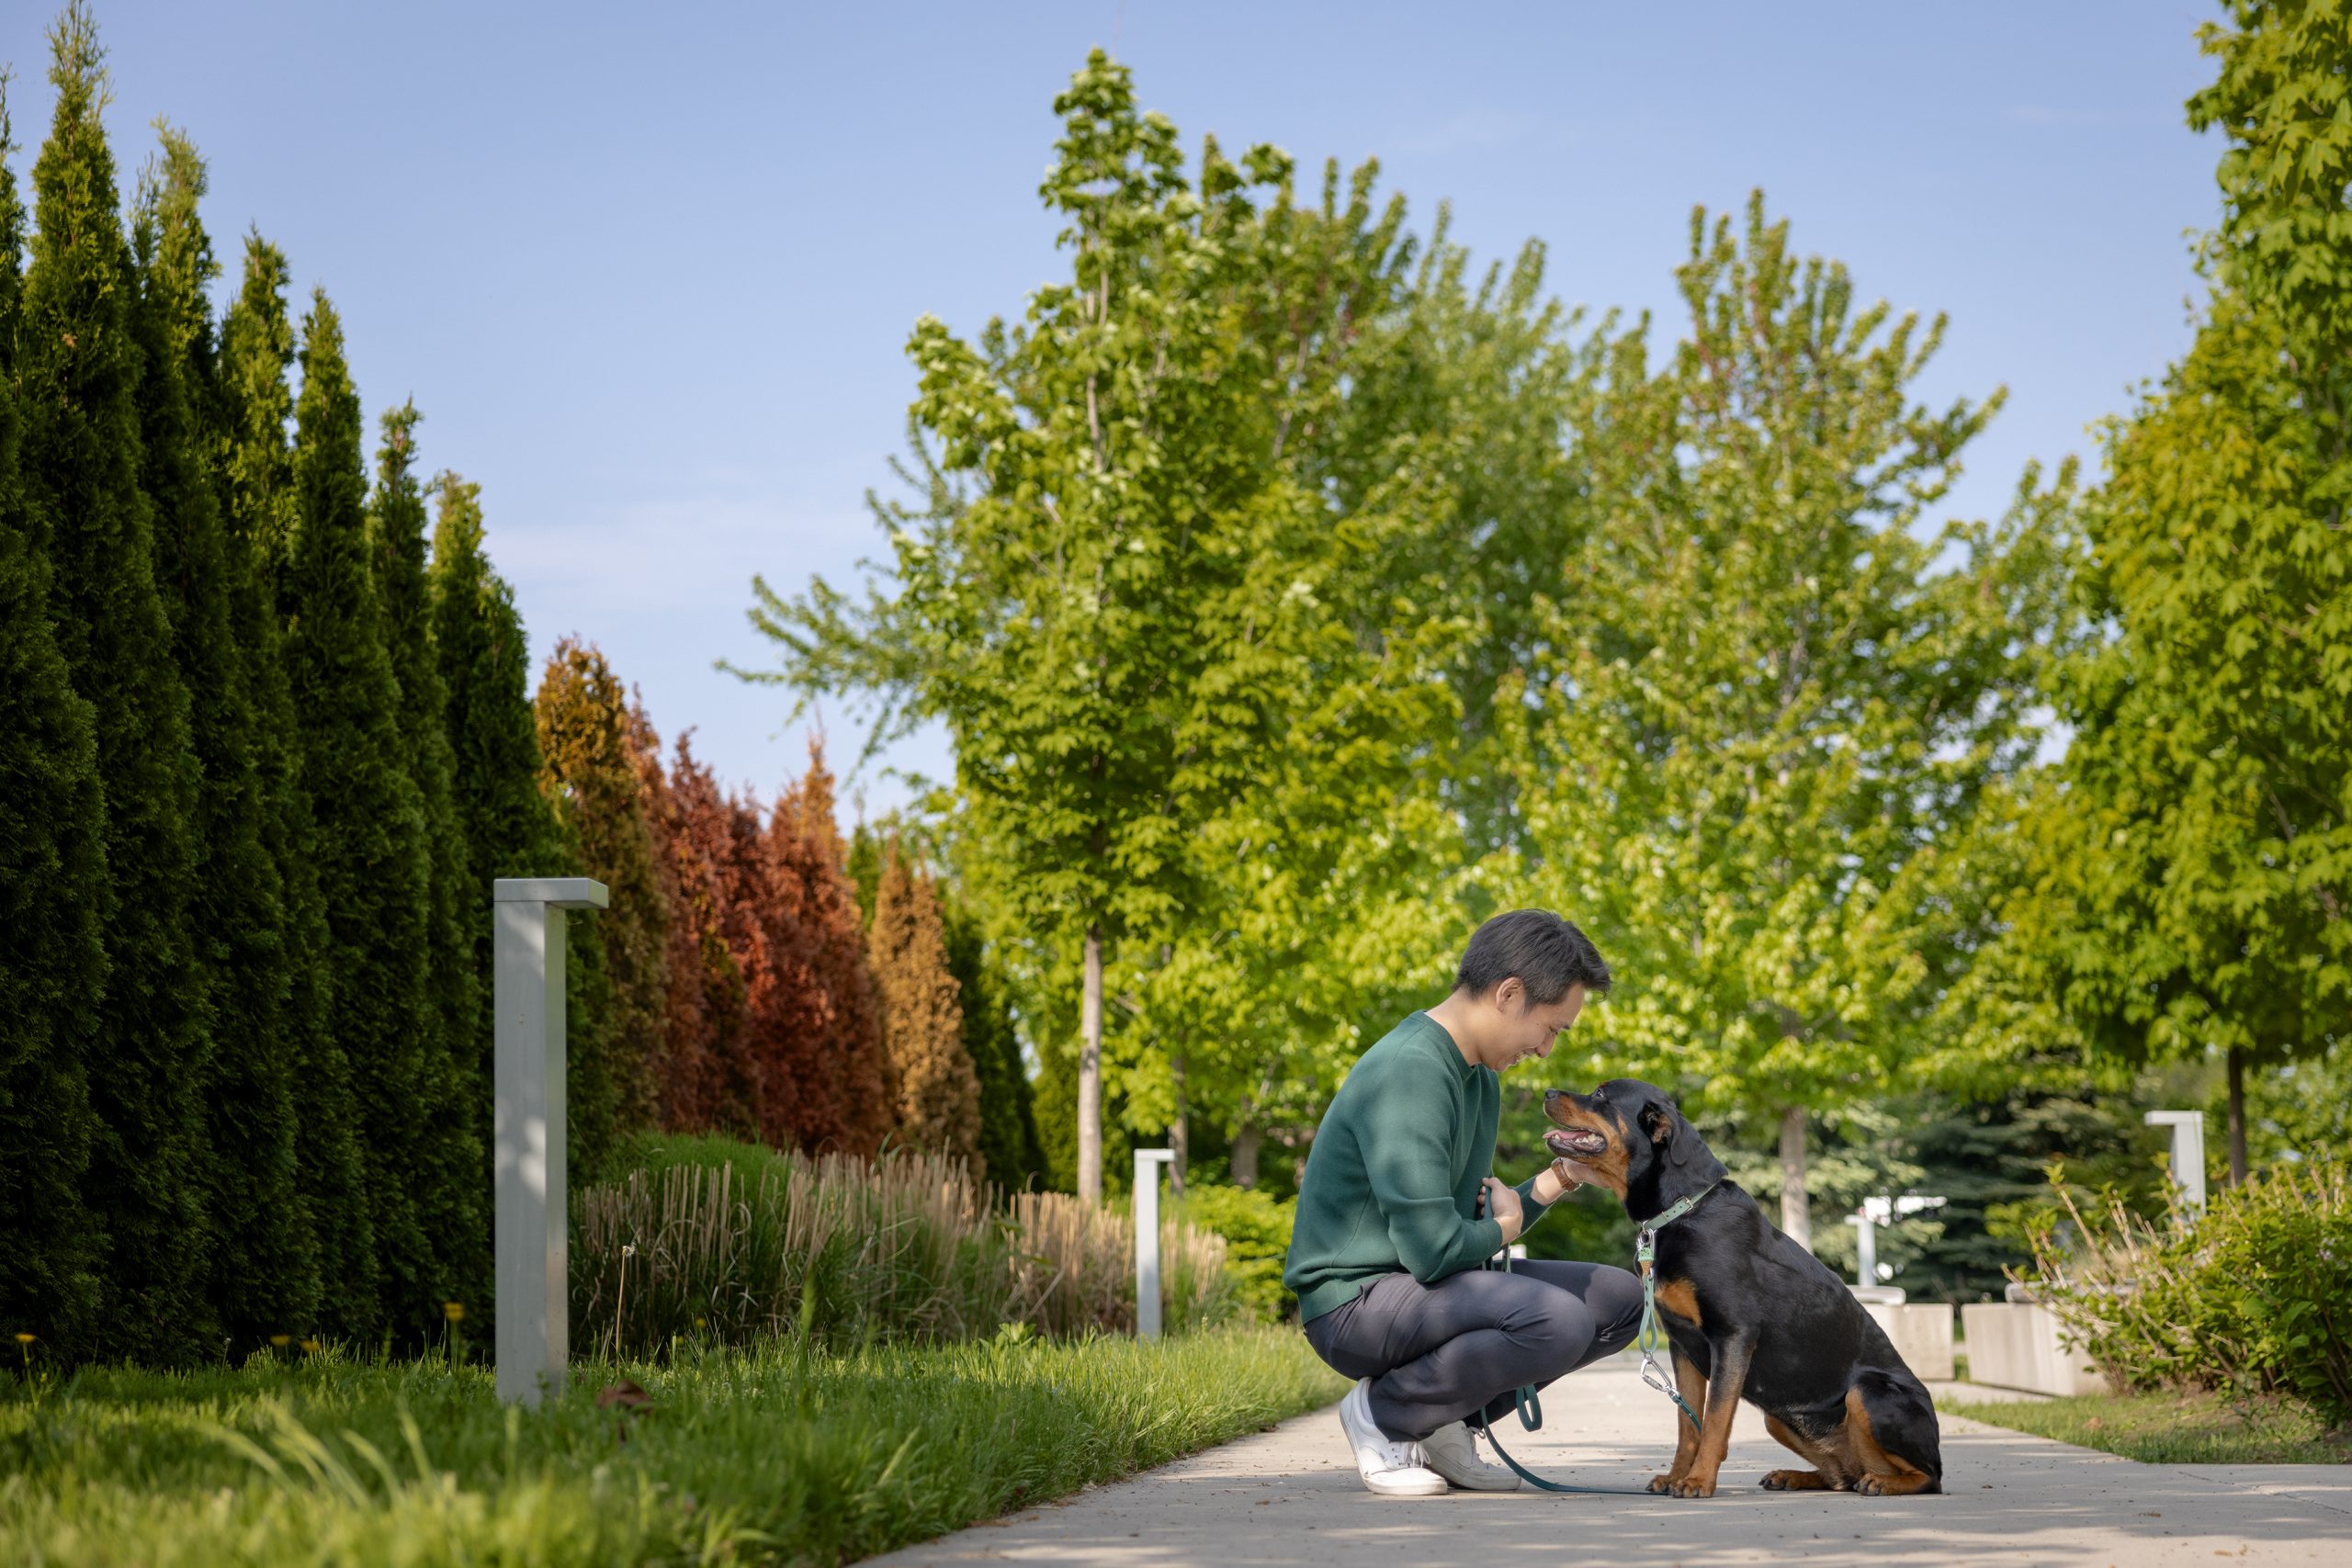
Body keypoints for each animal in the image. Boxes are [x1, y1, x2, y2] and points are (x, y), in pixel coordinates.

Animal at [1533, 1081, 1938, 1495]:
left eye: (1600, 1095)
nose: (1547, 1091)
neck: (1681, 1210)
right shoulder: (1681, 1344)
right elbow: (1687, 1426)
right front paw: (1676, 1476)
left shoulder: (1732, 1336)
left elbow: (1713, 1419)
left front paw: (1697, 1480)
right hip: (1778, 1417)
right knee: (1841, 1475)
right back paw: (1794, 1475)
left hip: (1867, 1392)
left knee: (1928, 1475)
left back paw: (1885, 1483)